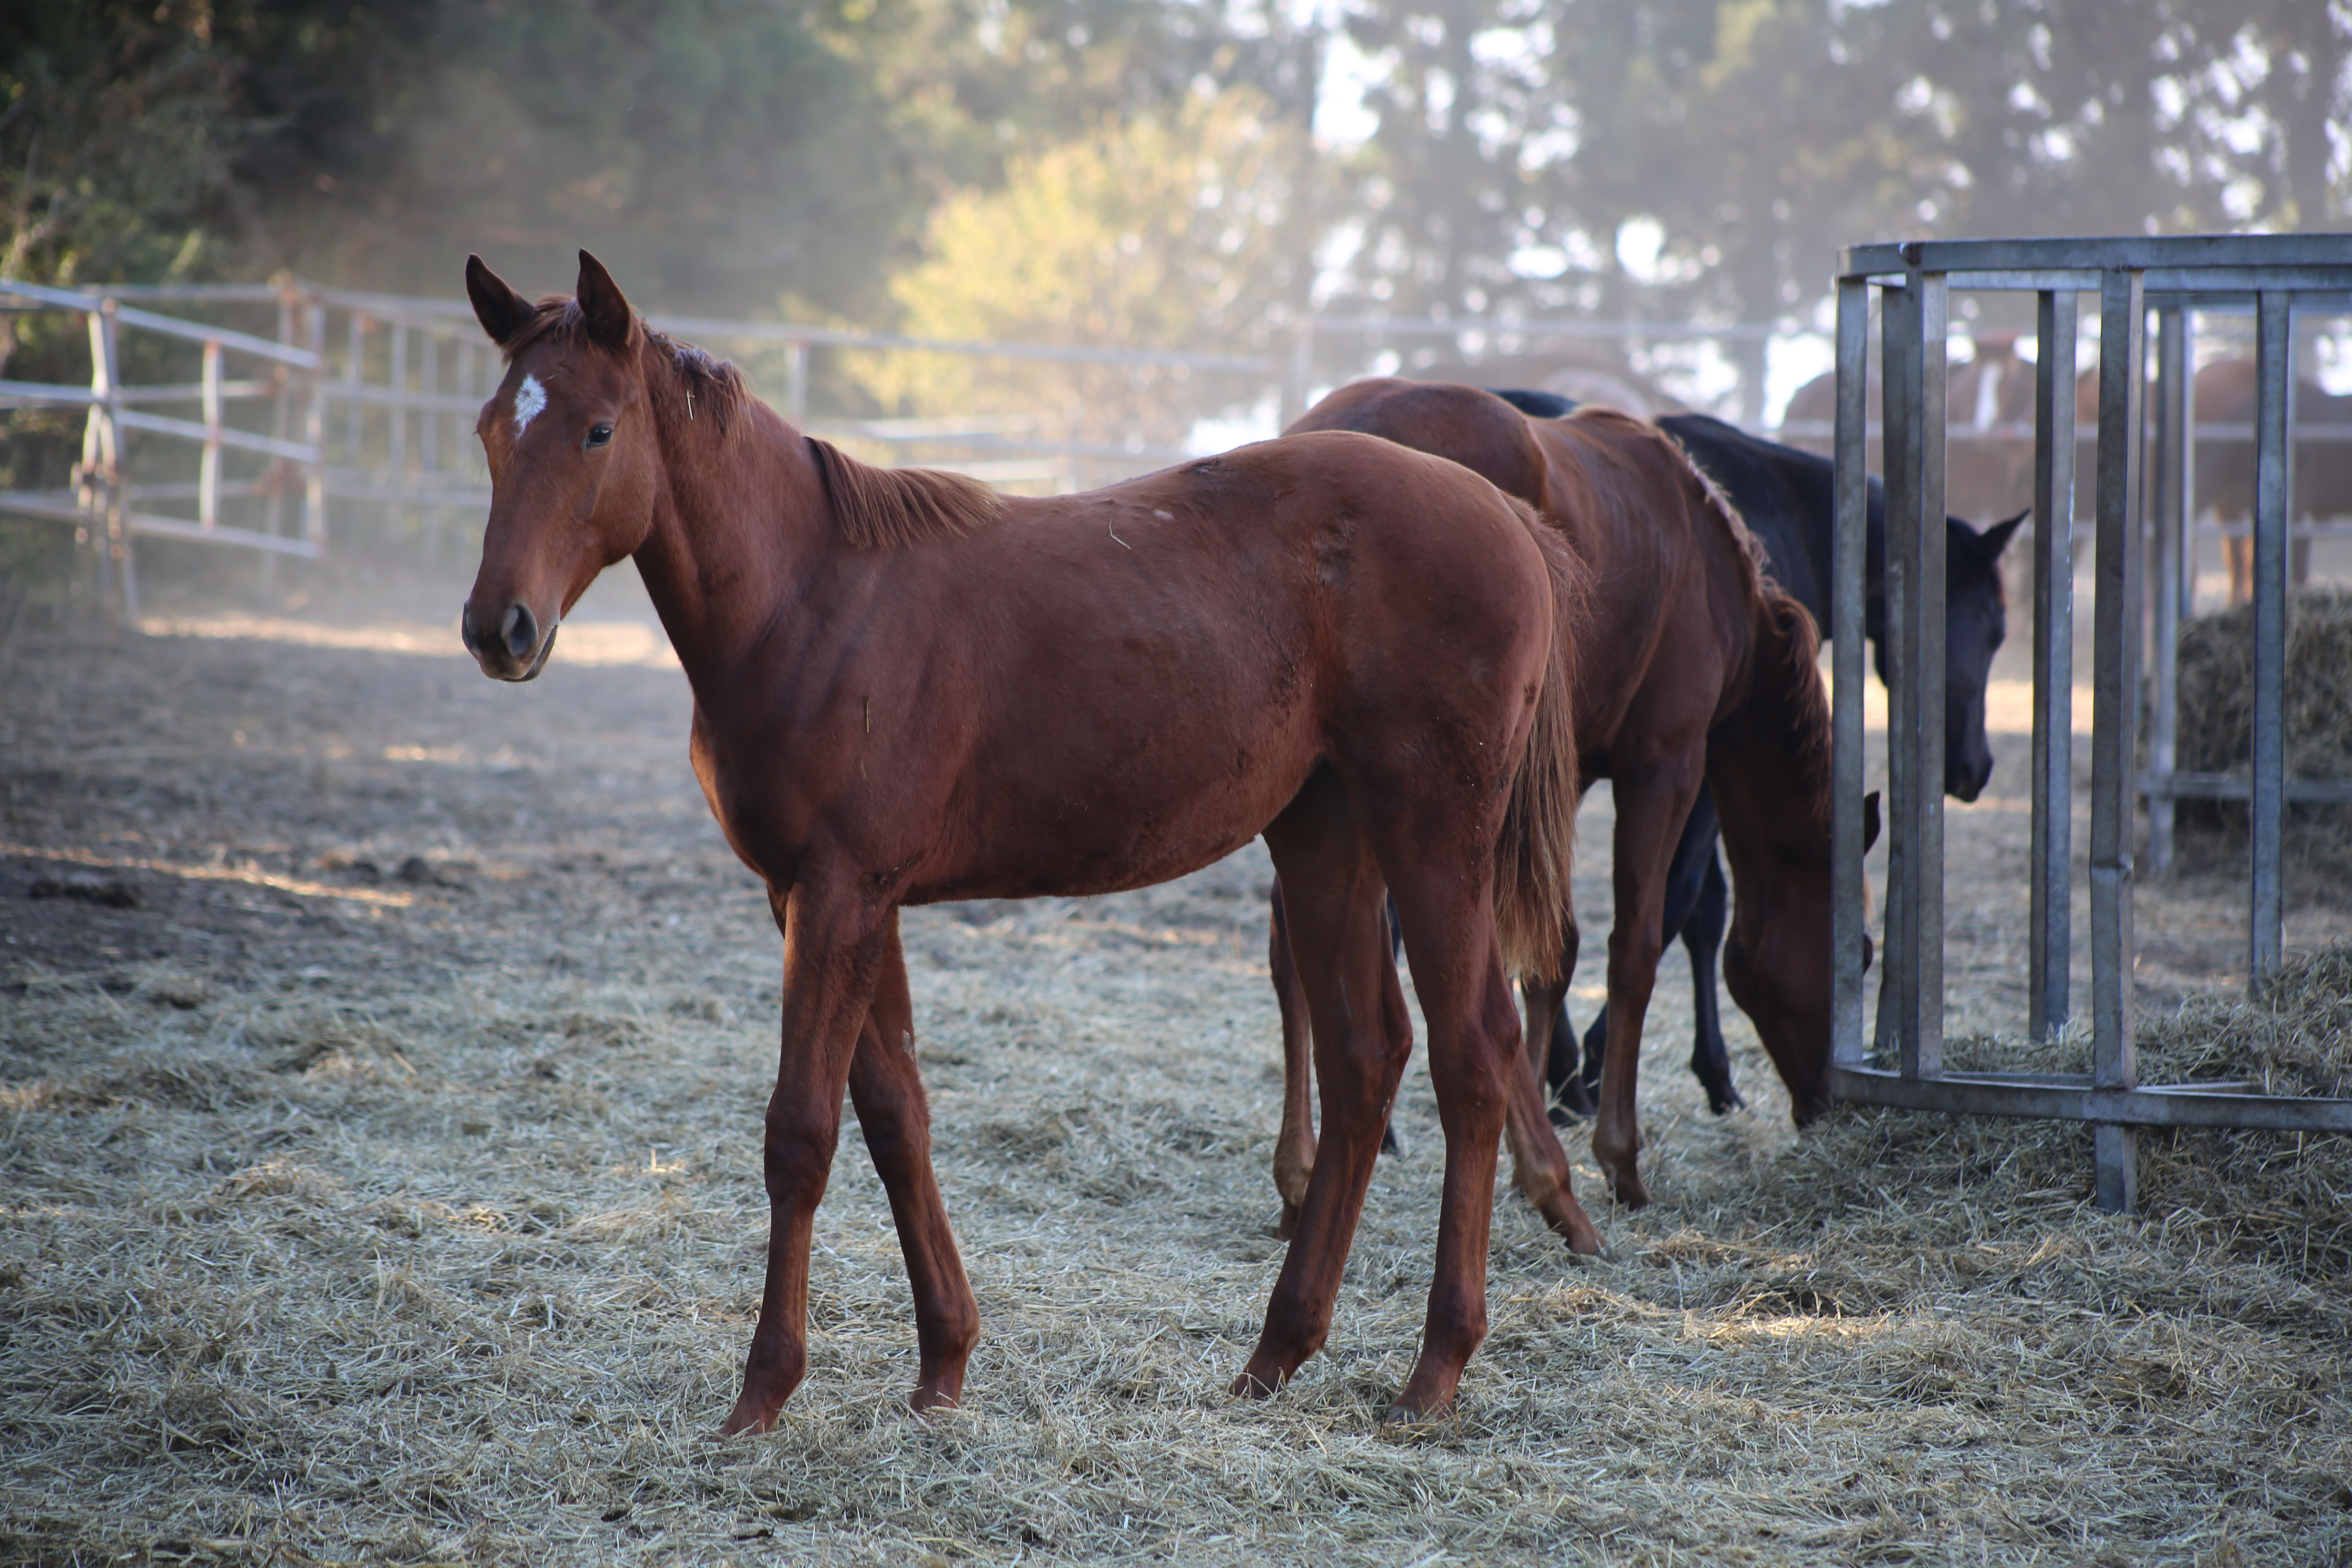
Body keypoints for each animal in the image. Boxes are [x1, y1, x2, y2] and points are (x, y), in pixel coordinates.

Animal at [454, 255, 1599, 1439]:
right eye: (492, 429)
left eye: (598, 430)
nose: (500, 629)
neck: (810, 597)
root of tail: (1507, 513)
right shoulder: (836, 898)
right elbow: (895, 1115)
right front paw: (941, 1366)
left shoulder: (838, 893)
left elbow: (801, 1135)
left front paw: (762, 1393)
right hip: (1325, 835)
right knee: (1366, 1057)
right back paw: (1274, 1354)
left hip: (1434, 838)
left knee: (1472, 1056)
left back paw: (1434, 1367)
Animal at [1279, 383, 1862, 1213]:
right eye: (1862, 954)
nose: (1825, 1107)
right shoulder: (1665, 765)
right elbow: (1634, 949)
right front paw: (1616, 1155)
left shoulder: (1566, 772)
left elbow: (1552, 953)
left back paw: (1300, 1169)